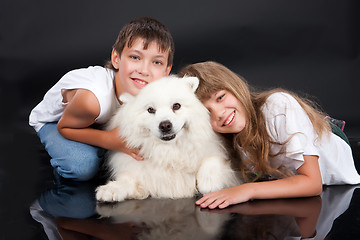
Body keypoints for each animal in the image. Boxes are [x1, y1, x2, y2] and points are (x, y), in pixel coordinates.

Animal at [95, 75, 239, 202]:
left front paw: (208, 182)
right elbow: (127, 180)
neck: (170, 152)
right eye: (150, 110)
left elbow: (213, 159)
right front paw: (110, 189)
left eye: (176, 106)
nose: (165, 125)